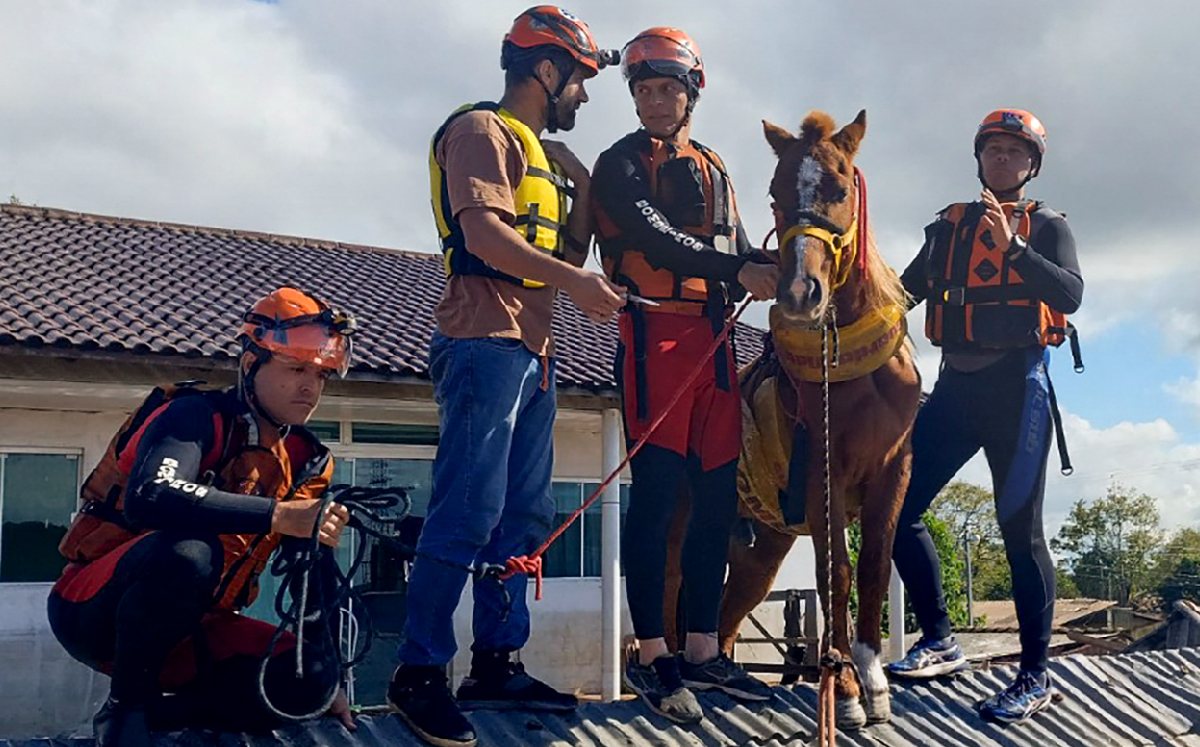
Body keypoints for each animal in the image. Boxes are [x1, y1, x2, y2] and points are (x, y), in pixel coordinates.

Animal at [662, 111, 921, 730]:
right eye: (776, 195)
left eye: (840, 188)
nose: (802, 293)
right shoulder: (825, 474)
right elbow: (836, 575)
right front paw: (844, 687)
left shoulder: (894, 469)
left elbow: (873, 568)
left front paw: (873, 680)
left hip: (760, 551)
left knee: (727, 616)